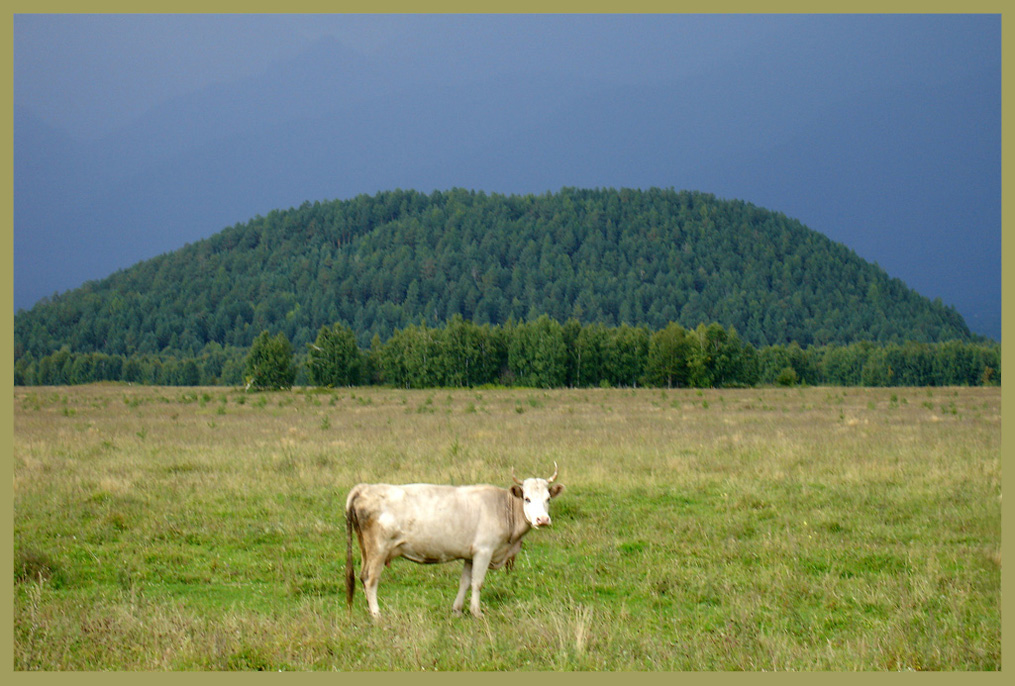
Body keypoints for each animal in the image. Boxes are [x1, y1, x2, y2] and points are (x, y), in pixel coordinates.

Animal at [345, 462, 568, 616]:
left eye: (548, 499)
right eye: (527, 499)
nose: (542, 520)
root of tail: (365, 488)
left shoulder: (470, 554)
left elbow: (465, 582)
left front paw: (458, 610)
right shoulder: (484, 551)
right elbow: (477, 582)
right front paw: (477, 612)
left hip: (366, 550)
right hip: (378, 550)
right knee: (370, 579)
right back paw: (377, 614)